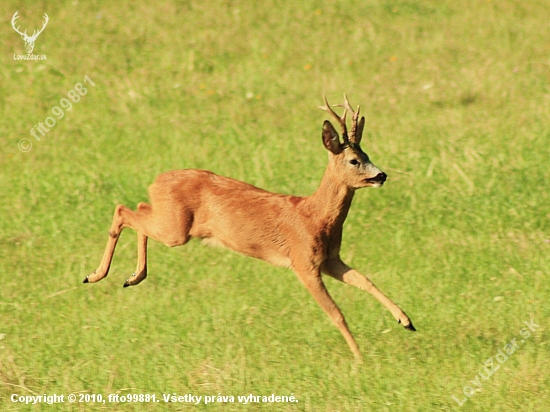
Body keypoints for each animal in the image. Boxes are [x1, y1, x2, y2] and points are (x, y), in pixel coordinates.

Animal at [84, 95, 416, 358]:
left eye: (367, 155)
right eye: (353, 160)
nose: (382, 175)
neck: (315, 216)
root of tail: (156, 181)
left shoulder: (330, 259)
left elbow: (365, 280)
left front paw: (406, 321)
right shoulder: (303, 262)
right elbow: (336, 314)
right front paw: (360, 359)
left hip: (171, 223)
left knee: (139, 208)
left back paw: (132, 277)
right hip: (175, 229)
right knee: (123, 210)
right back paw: (96, 275)